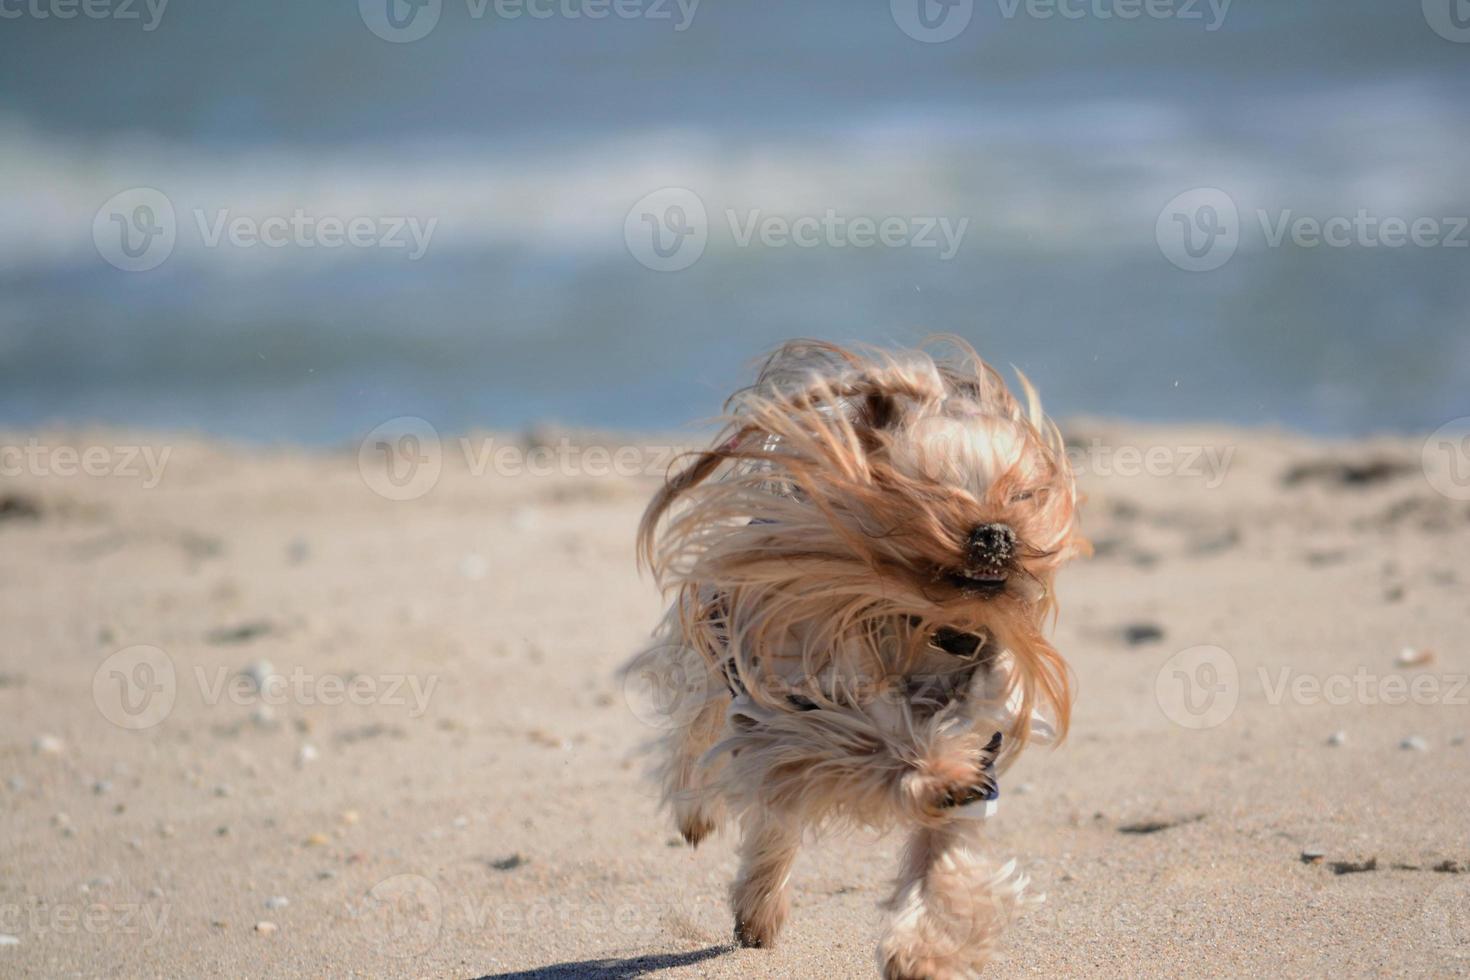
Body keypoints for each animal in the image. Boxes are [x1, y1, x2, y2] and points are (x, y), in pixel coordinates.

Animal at [626, 339, 1087, 980]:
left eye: (1024, 495)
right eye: (930, 490)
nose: (996, 533)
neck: (928, 627)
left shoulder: (981, 733)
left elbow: (944, 859)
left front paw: (920, 952)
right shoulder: (805, 711)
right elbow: (874, 747)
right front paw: (935, 772)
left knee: (771, 819)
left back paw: (757, 911)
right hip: (725, 661)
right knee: (705, 738)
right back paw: (700, 820)